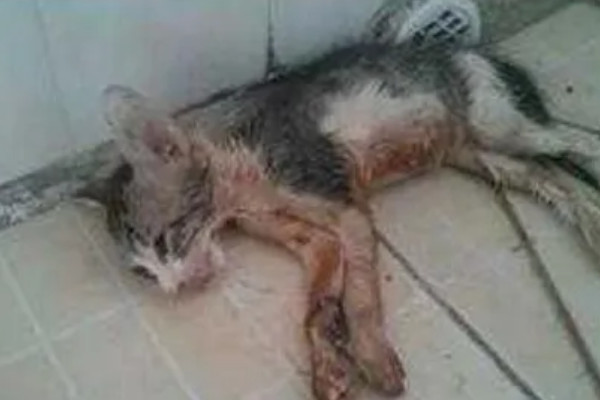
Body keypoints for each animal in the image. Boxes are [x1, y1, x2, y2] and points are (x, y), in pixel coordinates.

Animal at [82, 40, 600, 400]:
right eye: (143, 274)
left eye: (167, 240)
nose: (173, 289)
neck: (241, 180)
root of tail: (472, 49)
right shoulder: (314, 238)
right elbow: (317, 304)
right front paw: (329, 360)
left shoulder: (344, 208)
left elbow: (362, 297)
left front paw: (372, 356)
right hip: (481, 154)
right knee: (552, 178)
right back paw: (590, 225)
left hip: (502, 126)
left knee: (580, 146)